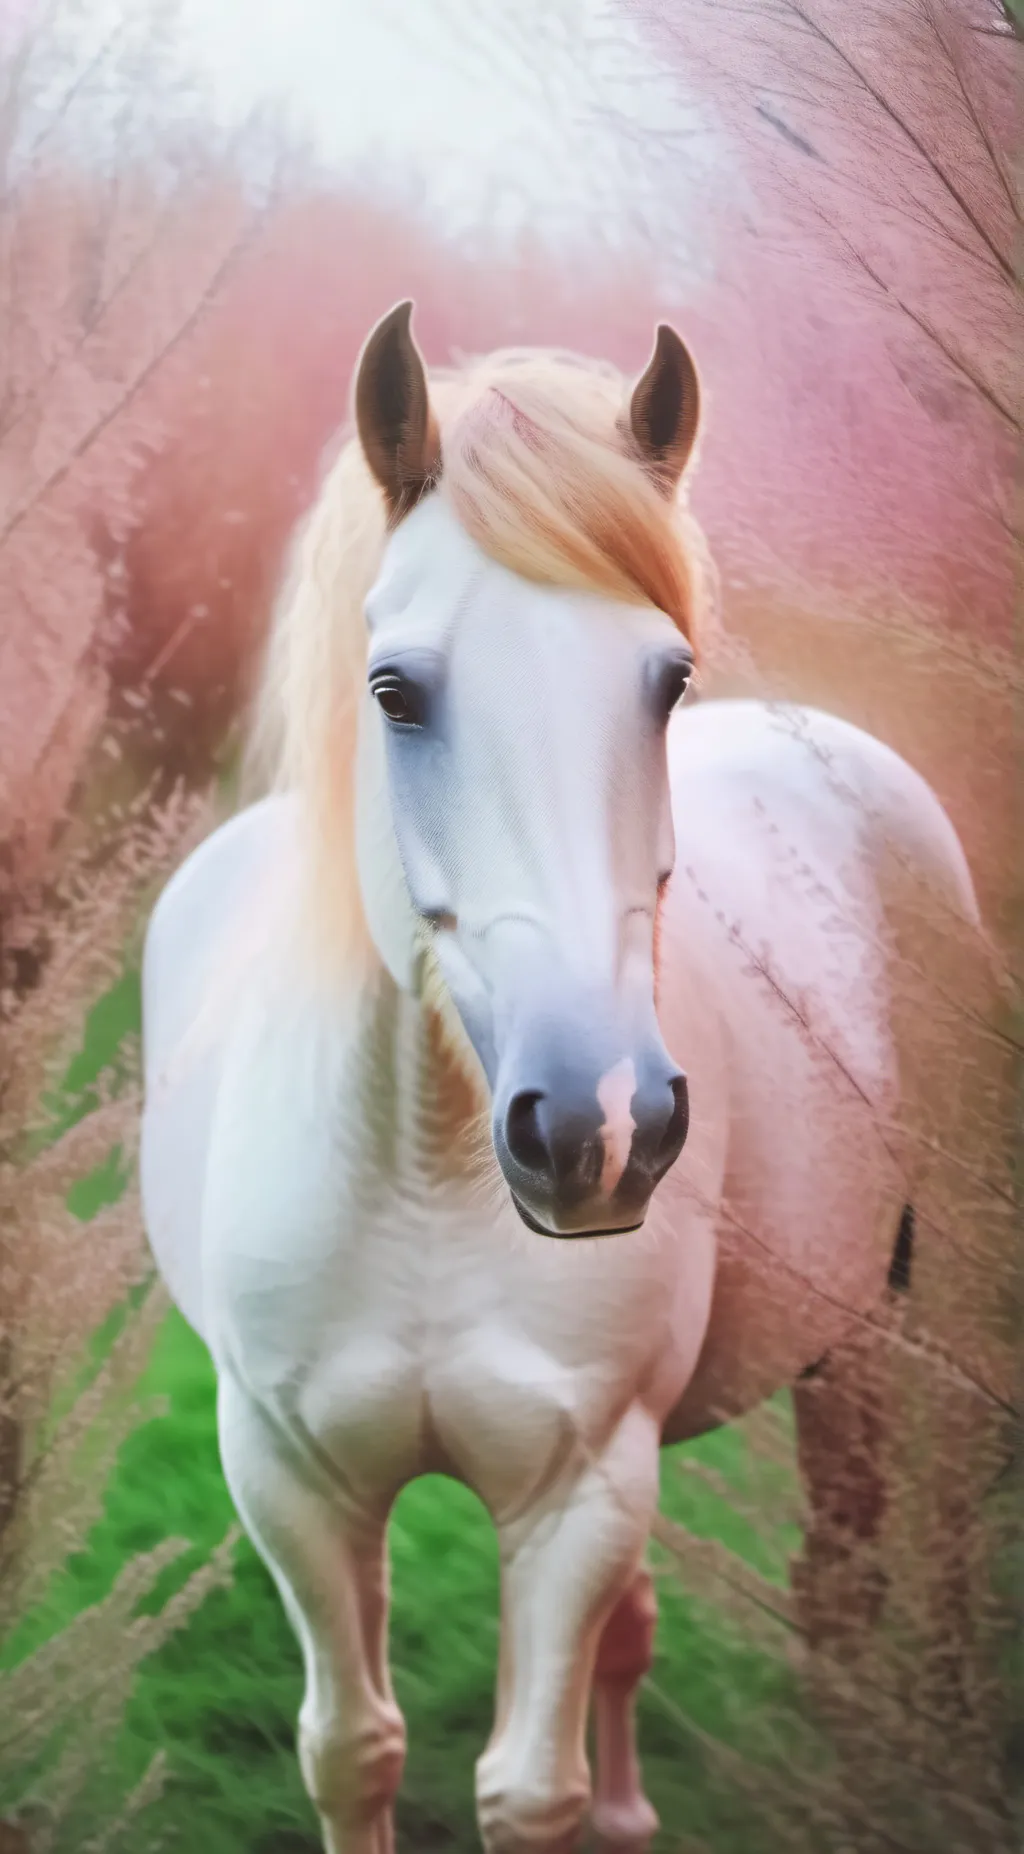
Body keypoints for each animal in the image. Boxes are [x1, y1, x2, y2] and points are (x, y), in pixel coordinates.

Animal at [139, 301, 985, 1854]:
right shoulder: (290, 1482)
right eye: (396, 689)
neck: (421, 1170)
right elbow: (354, 1748)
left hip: (894, 1334)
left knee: (872, 1580)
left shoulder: (580, 1489)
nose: (600, 1124)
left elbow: (530, 1791)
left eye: (669, 679)